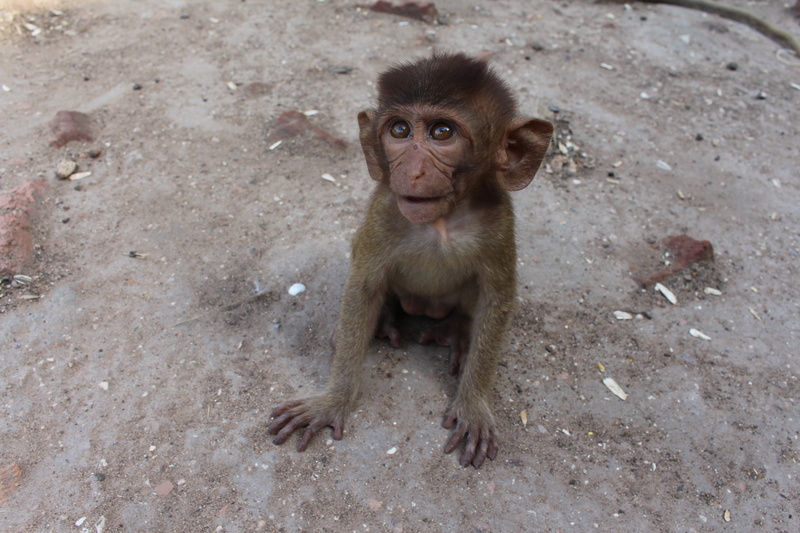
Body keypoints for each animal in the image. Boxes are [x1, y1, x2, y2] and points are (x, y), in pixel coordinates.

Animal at [269, 53, 553, 468]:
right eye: (400, 130)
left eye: (442, 133)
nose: (413, 170)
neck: (441, 222)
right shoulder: (383, 211)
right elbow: (363, 286)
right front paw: (333, 399)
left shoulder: (499, 222)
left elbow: (497, 299)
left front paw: (473, 404)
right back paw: (385, 319)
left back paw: (457, 331)